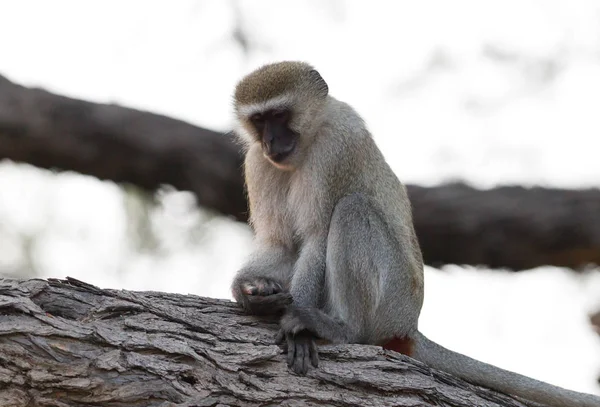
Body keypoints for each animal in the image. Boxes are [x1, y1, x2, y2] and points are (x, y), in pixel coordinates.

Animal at [231, 61, 600, 407]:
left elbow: (316, 237)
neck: (309, 137)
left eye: (280, 115)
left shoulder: (337, 146)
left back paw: (342, 328)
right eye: (260, 121)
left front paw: (298, 328)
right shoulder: (257, 162)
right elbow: (279, 243)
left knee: (353, 209)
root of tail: (409, 325)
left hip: (393, 301)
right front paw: (248, 291)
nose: (271, 141)